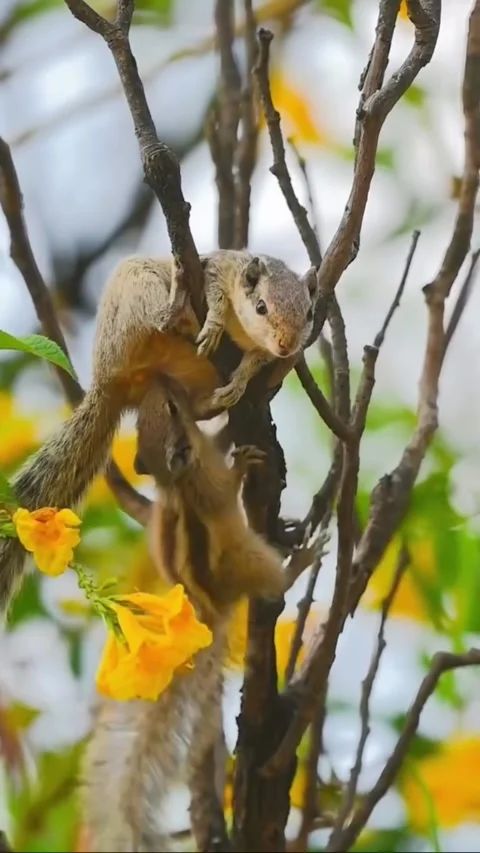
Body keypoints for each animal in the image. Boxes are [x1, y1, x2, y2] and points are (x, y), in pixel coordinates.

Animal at [0, 249, 317, 615]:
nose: (287, 346)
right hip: (137, 299)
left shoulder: (261, 352)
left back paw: (215, 400)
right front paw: (213, 323)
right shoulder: (217, 268)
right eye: (261, 306)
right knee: (160, 320)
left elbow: (254, 362)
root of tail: (108, 379)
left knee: (195, 408)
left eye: (309, 313)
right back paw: (177, 297)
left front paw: (239, 382)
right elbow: (215, 293)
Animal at [80, 376, 286, 852]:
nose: (161, 382)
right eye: (173, 410)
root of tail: (210, 612)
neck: (179, 475)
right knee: (278, 582)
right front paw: (242, 462)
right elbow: (228, 486)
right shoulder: (211, 491)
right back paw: (304, 554)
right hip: (251, 559)